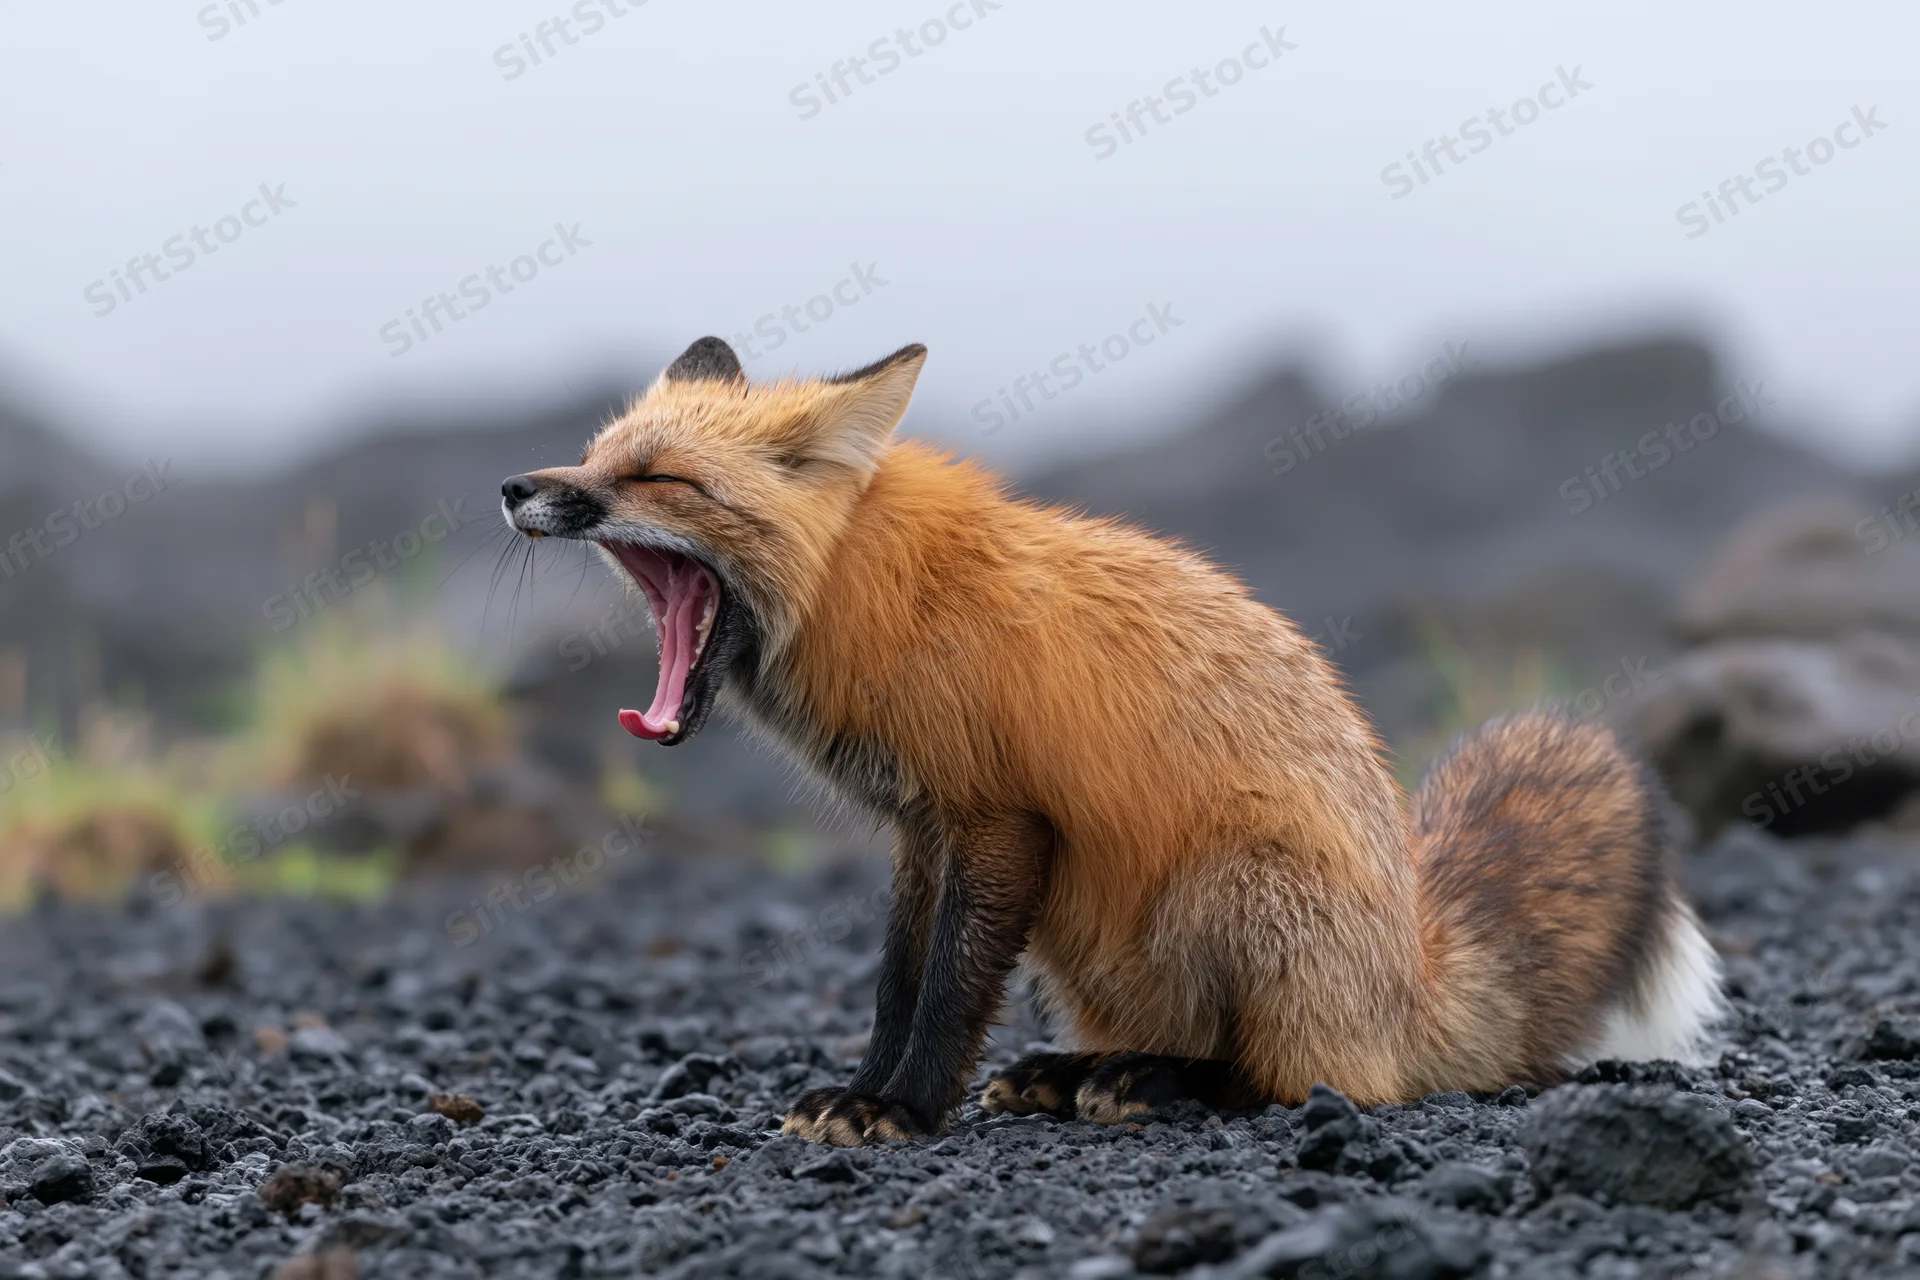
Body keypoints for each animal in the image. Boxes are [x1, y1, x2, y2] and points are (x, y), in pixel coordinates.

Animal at [501, 336, 1723, 1145]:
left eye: (658, 478)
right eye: (596, 454)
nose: (515, 485)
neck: (877, 593)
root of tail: (1412, 974)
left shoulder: (998, 815)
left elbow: (947, 988)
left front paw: (904, 1104)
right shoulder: (922, 827)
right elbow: (898, 979)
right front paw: (866, 1085)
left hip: (1225, 887)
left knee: (1299, 1081)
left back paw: (1159, 1085)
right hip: (1087, 930)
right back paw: (1079, 1069)